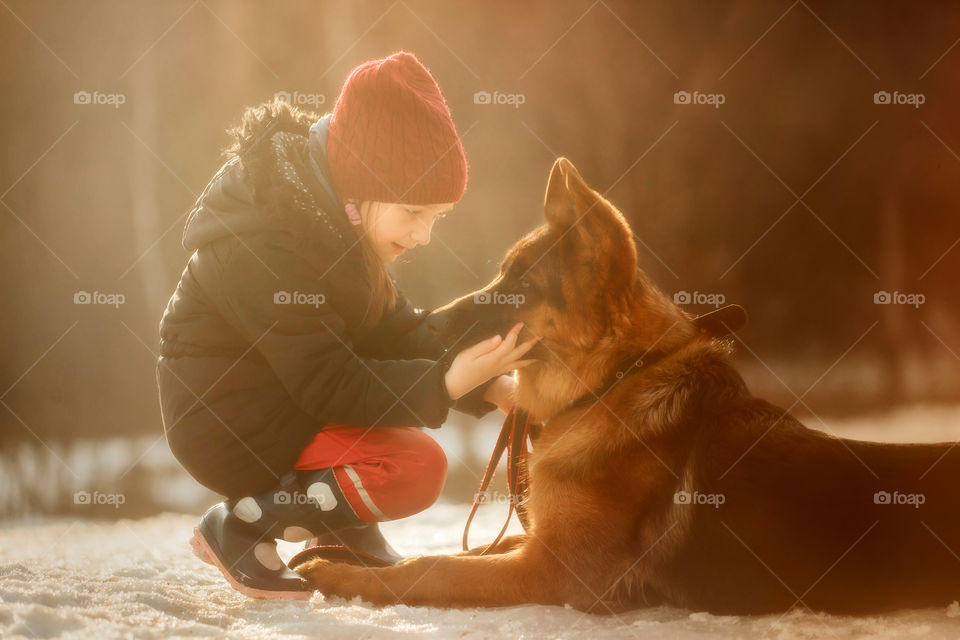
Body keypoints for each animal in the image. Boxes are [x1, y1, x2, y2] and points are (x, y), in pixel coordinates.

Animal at [290, 156, 960, 616]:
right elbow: (448, 554)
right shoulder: (540, 545)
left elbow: (431, 569)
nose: (428, 326)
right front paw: (343, 556)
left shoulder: (554, 571)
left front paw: (346, 577)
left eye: (519, 286)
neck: (612, 385)